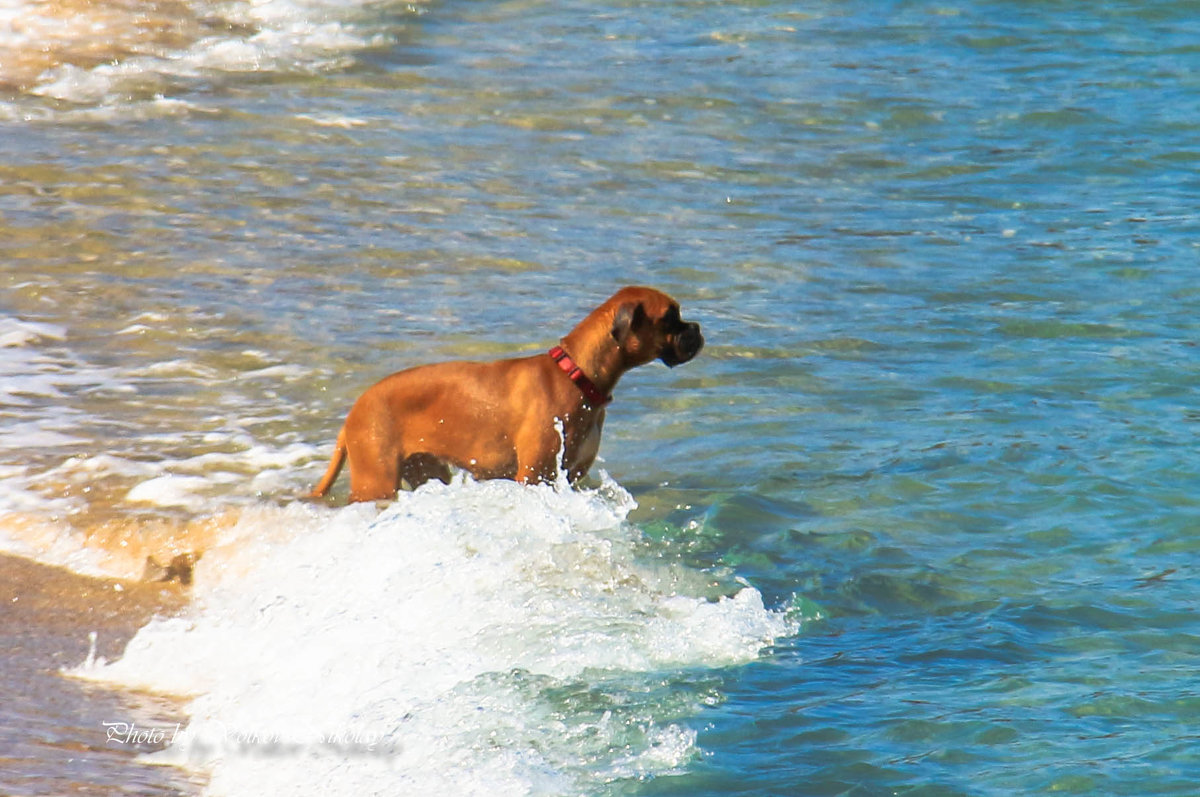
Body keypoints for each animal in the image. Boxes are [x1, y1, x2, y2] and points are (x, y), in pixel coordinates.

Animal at [309, 283, 700, 501]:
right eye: (671, 317)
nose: (696, 328)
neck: (576, 375)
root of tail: (355, 411)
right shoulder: (534, 476)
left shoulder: (571, 477)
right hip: (377, 481)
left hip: (425, 472)